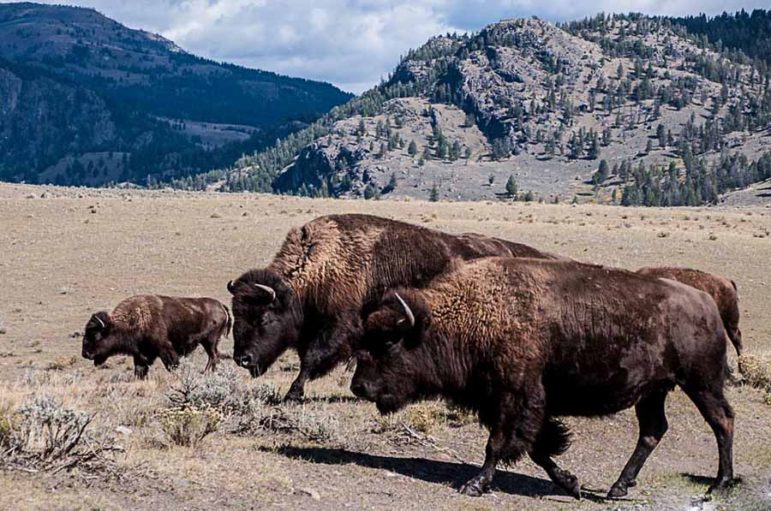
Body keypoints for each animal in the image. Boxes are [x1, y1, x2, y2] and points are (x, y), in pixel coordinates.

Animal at [83, 296, 232, 380]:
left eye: (95, 335)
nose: (85, 354)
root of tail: (221, 306)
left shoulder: (164, 348)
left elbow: (172, 365)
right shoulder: (140, 354)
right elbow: (140, 369)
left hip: (209, 340)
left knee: (213, 356)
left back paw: (206, 374)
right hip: (210, 342)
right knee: (215, 356)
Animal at [226, 214, 564, 402]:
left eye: (264, 318)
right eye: (237, 318)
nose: (242, 359)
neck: (321, 264)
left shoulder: (339, 326)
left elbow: (312, 359)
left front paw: (292, 395)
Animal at [352, 258, 736, 498]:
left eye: (389, 342)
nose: (359, 386)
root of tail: (706, 302)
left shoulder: (513, 397)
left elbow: (498, 444)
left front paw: (475, 484)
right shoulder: (512, 403)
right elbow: (537, 447)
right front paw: (572, 483)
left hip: (701, 382)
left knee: (722, 421)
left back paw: (719, 484)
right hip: (654, 391)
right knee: (653, 431)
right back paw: (617, 488)